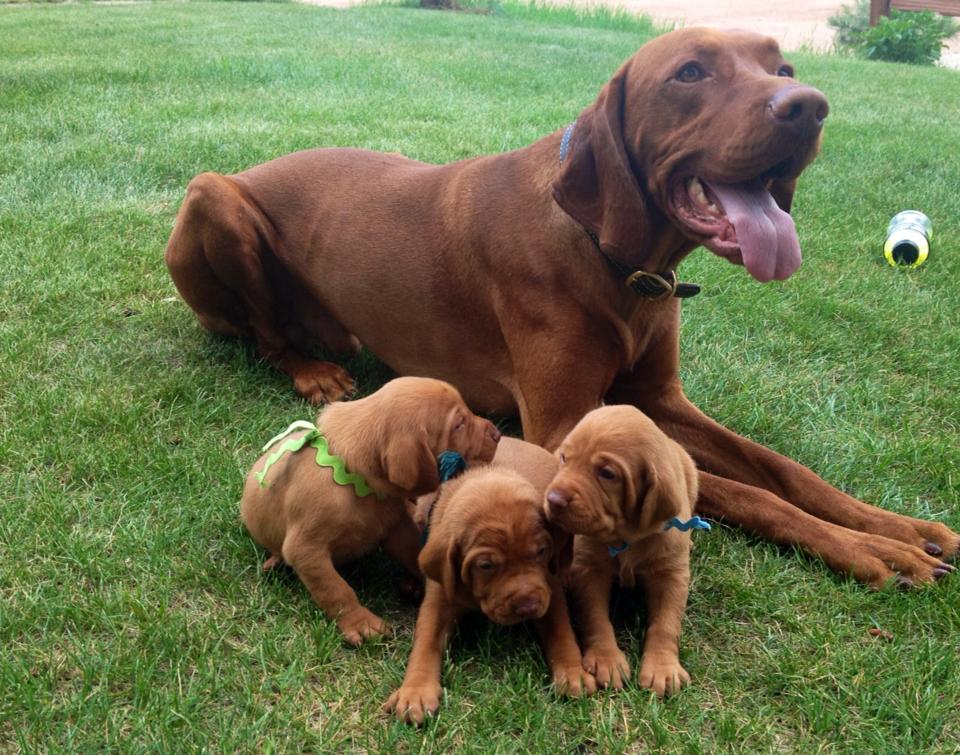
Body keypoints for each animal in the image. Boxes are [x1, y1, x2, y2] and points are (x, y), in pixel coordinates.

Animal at [240, 376, 502, 644]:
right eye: (459, 424)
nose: (498, 433)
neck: (353, 479)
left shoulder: (395, 526)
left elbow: (414, 553)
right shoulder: (306, 549)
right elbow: (335, 589)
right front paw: (360, 622)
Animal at [382, 438, 592, 728]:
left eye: (540, 551)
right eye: (485, 566)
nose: (527, 606)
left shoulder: (548, 590)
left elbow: (562, 632)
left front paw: (573, 672)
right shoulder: (439, 597)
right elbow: (425, 643)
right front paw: (415, 691)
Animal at [548, 408, 704, 696]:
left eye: (607, 473)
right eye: (565, 458)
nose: (553, 499)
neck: (628, 537)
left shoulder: (671, 575)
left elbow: (666, 623)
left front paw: (662, 668)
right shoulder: (588, 570)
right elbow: (595, 617)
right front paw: (606, 660)